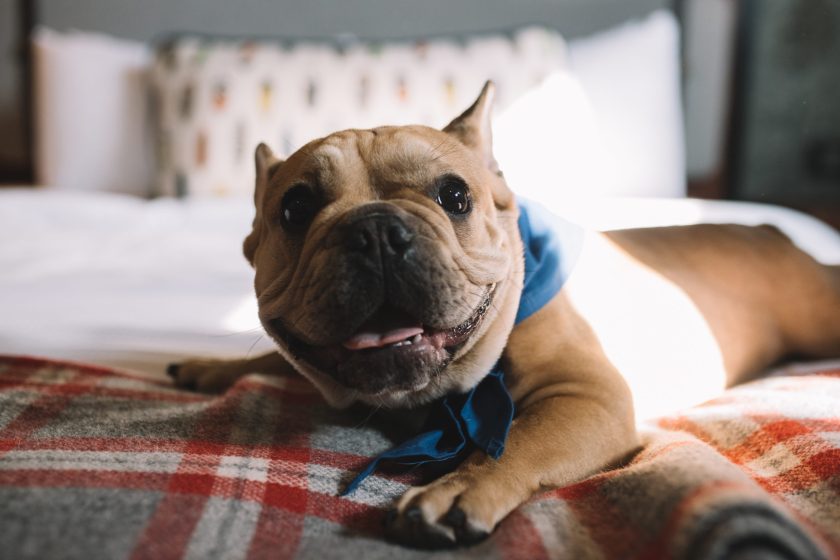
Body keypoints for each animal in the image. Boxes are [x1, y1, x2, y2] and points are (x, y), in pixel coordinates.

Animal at [166, 83, 840, 548]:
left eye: (454, 196)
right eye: (295, 209)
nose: (375, 230)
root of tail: (771, 230)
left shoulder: (588, 394)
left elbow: (515, 439)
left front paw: (456, 489)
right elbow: (280, 362)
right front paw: (209, 367)